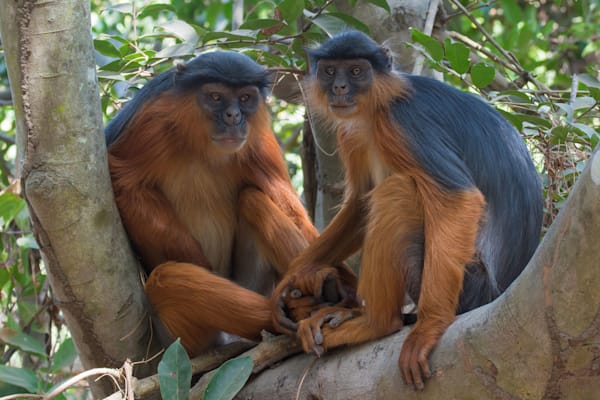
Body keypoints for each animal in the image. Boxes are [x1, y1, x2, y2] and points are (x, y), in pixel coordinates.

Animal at [103, 52, 356, 356]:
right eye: (215, 97)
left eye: (245, 98)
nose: (233, 116)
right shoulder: (150, 122)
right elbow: (125, 184)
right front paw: (196, 259)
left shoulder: (256, 135)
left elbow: (290, 208)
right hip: (182, 340)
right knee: (166, 278)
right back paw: (280, 313)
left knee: (252, 199)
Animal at [272, 32, 544, 390]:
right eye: (331, 72)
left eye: (356, 71)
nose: (340, 88)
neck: (378, 107)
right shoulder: (352, 132)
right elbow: (360, 205)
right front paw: (296, 275)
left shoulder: (404, 123)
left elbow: (458, 198)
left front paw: (429, 327)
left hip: (468, 286)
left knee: (398, 192)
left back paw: (376, 323)